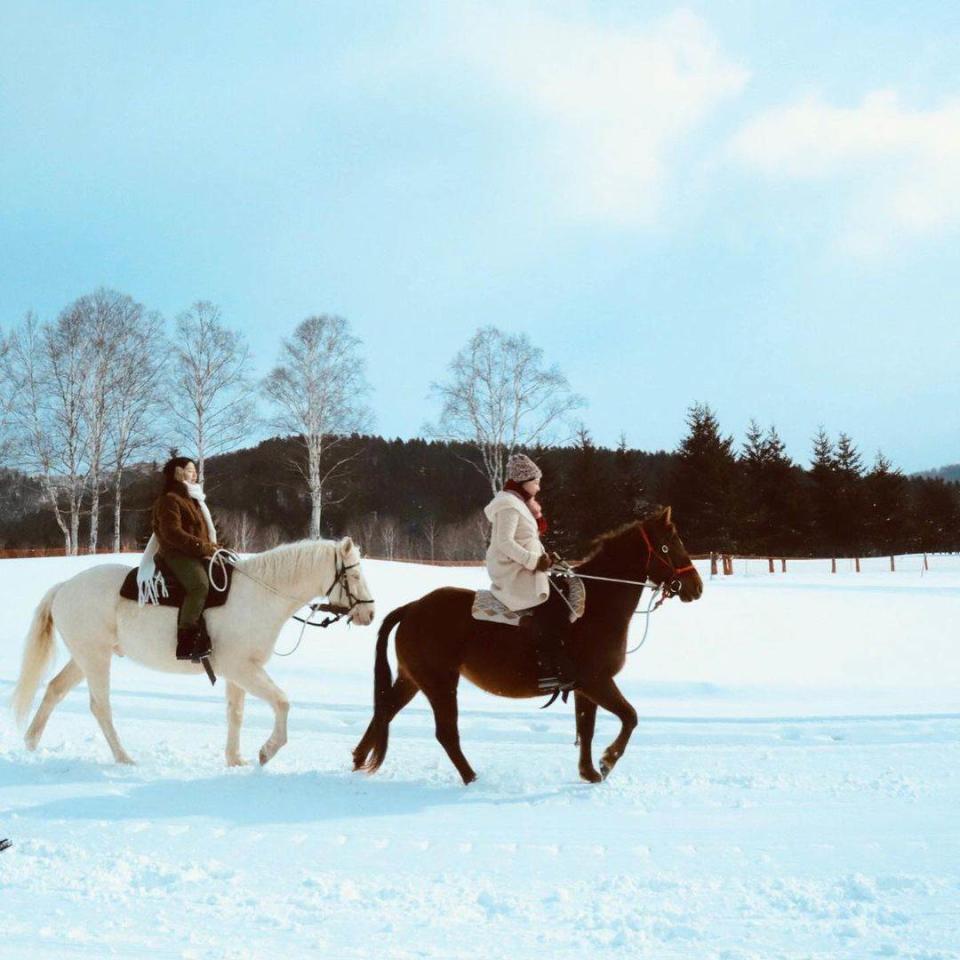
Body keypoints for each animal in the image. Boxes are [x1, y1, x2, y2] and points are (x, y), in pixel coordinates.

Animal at [9, 540, 376, 764]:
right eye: (355, 574)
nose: (370, 614)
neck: (258, 595)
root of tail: (64, 588)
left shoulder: (238, 674)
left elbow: (235, 714)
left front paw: (235, 759)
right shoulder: (242, 669)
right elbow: (283, 702)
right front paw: (266, 751)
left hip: (84, 657)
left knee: (54, 690)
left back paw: (30, 742)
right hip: (95, 658)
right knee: (100, 707)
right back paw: (124, 757)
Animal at [352, 506, 704, 784]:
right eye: (668, 545)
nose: (696, 586)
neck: (594, 606)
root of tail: (412, 607)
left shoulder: (583, 688)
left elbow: (586, 728)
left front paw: (589, 772)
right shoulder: (597, 681)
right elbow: (630, 717)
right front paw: (607, 761)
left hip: (412, 678)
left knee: (384, 711)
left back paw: (357, 759)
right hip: (439, 682)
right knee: (445, 733)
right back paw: (471, 777)